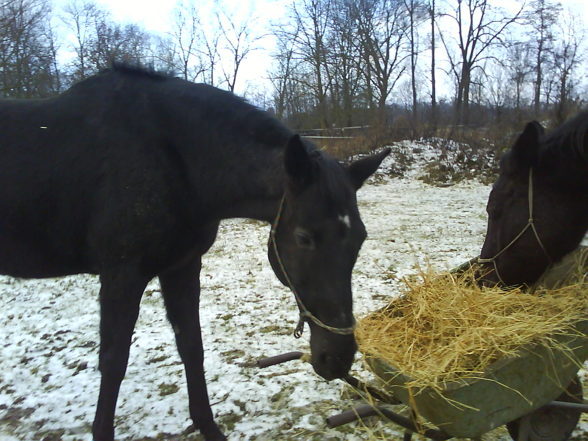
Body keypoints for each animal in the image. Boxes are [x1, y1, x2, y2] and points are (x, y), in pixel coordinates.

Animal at [0, 65, 390, 440]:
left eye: (360, 239)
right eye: (304, 237)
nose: (336, 358)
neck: (170, 159)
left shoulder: (182, 266)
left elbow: (191, 345)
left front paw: (207, 425)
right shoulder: (121, 275)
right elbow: (114, 361)